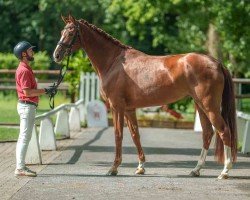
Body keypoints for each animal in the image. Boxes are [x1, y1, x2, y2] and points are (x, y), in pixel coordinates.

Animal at [52, 14, 236, 179]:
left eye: (70, 32)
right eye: (61, 31)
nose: (56, 55)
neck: (114, 63)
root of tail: (216, 63)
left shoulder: (117, 107)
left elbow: (118, 135)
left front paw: (114, 168)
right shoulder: (129, 109)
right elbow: (135, 135)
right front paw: (140, 167)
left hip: (209, 106)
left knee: (224, 131)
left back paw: (224, 171)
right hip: (200, 105)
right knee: (207, 133)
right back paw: (196, 170)